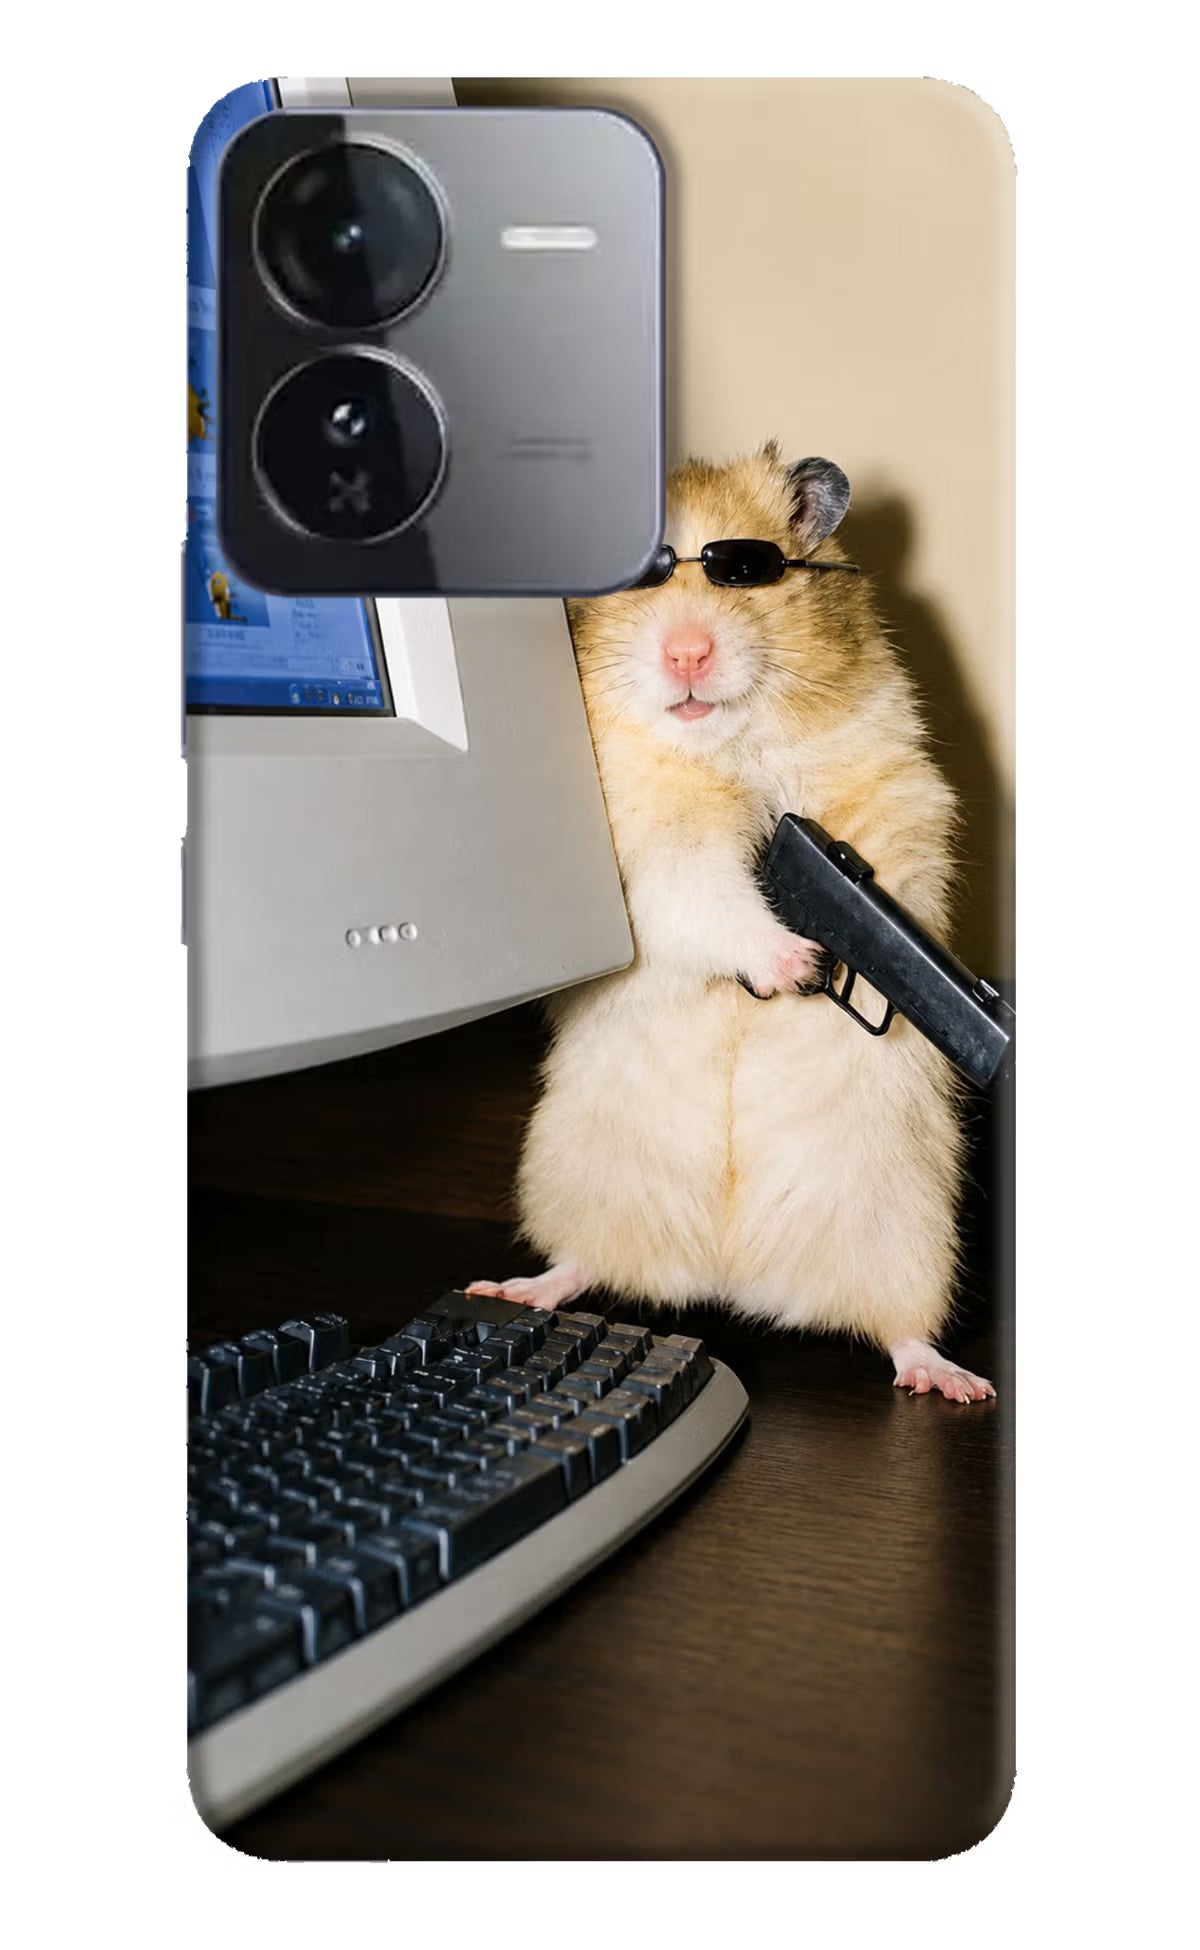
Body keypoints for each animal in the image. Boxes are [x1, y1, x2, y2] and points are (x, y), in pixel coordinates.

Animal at [469, 443, 994, 1403]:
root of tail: (730, 1276)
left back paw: (954, 1381)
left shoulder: (896, 789)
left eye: (747, 571)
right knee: (582, 1263)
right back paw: (515, 1288)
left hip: (908, 1229)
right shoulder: (649, 851)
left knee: (900, 1329)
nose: (686, 652)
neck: (726, 747)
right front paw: (797, 964)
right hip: (579, 1176)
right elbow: (708, 896)